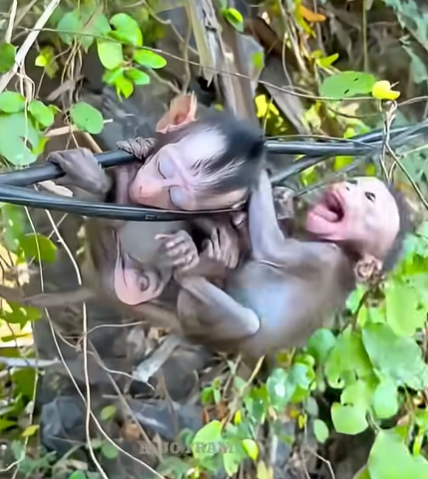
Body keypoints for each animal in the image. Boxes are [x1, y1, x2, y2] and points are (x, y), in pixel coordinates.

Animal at [159, 170, 413, 358]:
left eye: (369, 196)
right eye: (355, 183)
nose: (347, 186)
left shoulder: (326, 258)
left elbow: (270, 246)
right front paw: (279, 199)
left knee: (248, 322)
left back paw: (190, 272)